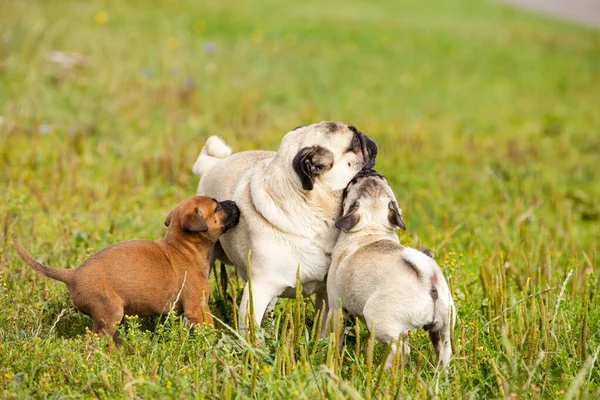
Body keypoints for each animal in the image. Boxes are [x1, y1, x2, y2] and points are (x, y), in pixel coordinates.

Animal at [13, 195, 239, 342]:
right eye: (217, 207)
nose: (234, 203)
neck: (183, 247)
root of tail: (73, 274)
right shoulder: (197, 308)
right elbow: (208, 328)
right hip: (110, 313)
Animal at [195, 122, 378, 332]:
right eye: (355, 140)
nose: (368, 138)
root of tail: (212, 165)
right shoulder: (257, 291)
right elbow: (251, 333)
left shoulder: (327, 295)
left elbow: (323, 331)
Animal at [328, 170, 454, 368]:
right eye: (382, 178)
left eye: (353, 183)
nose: (369, 171)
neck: (372, 227)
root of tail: (429, 278)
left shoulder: (336, 307)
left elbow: (336, 337)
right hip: (442, 328)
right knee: (444, 350)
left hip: (378, 319)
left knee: (400, 349)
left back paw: (382, 371)